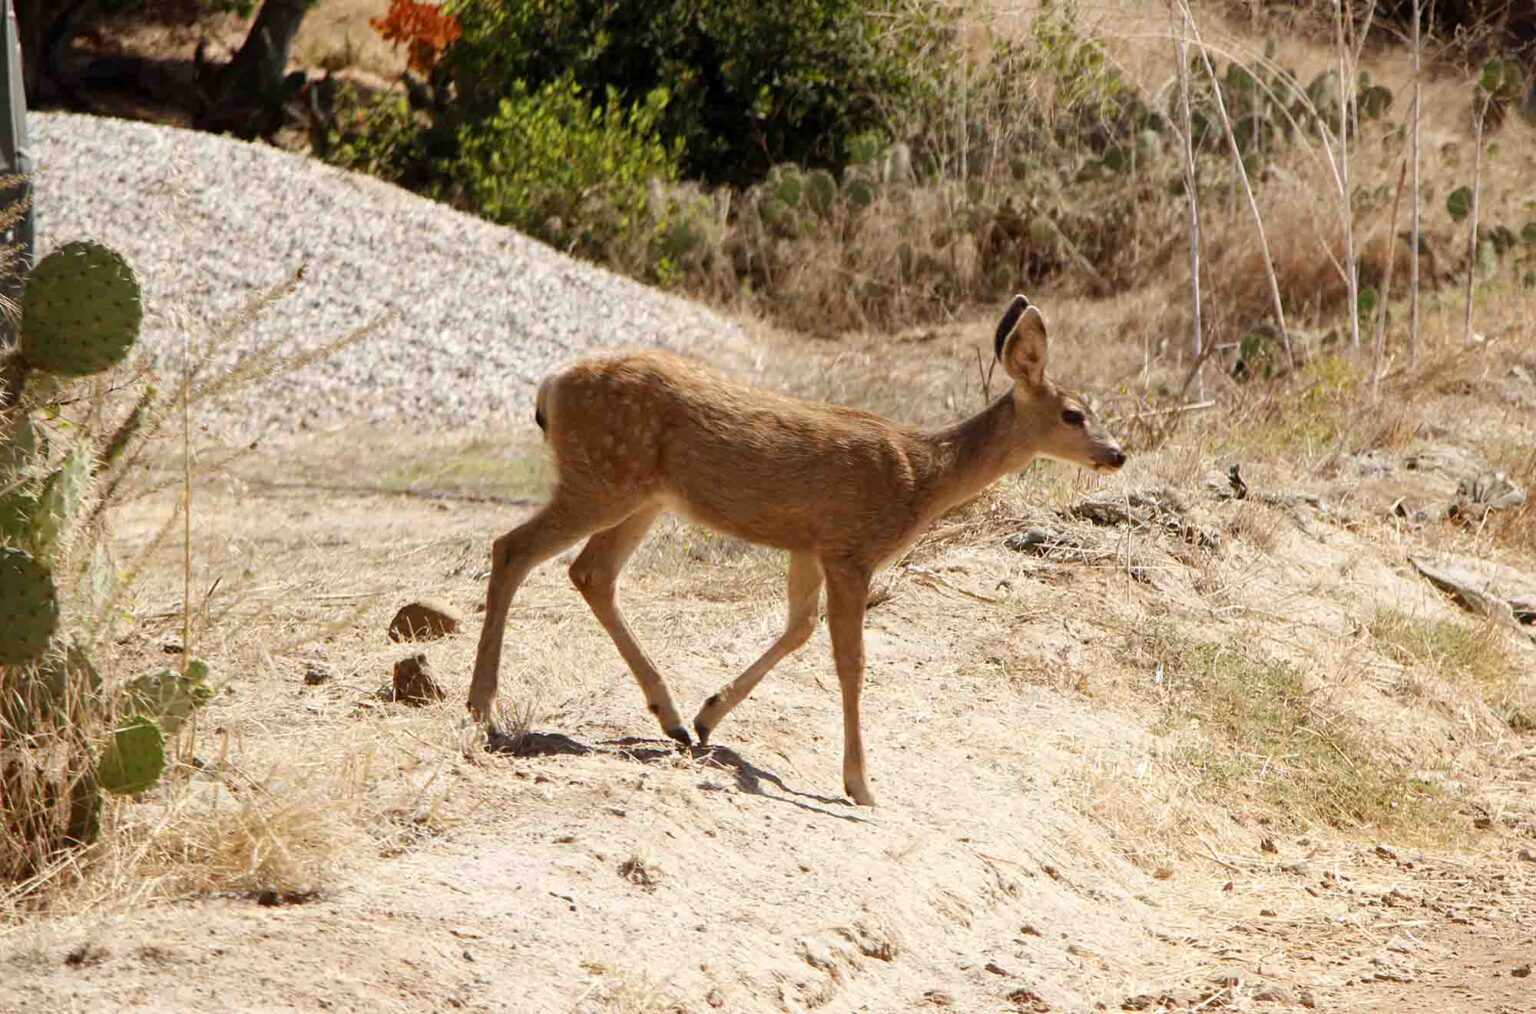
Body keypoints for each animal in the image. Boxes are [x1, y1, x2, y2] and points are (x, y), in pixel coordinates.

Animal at [467, 294, 1126, 806]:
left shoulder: (809, 545)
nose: (1117, 453)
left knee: (590, 572)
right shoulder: (852, 548)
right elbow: (850, 661)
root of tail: (550, 387)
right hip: (601, 477)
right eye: (1074, 414)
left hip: (642, 494)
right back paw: (482, 708)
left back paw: (673, 718)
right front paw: (860, 784)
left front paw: (710, 715)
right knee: (512, 549)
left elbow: (799, 628)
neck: (920, 477)